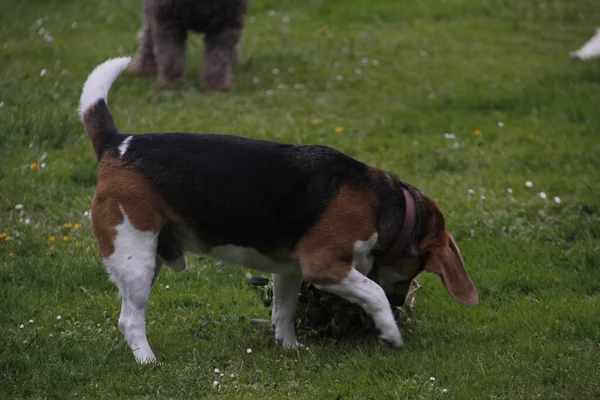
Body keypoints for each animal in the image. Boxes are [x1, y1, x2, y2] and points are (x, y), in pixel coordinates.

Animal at [78, 57, 478, 364]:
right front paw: (391, 333)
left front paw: (291, 348)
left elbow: (283, 312)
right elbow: (373, 291)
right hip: (135, 257)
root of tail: (117, 142)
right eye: (416, 270)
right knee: (130, 319)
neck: (389, 204)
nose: (400, 304)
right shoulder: (323, 265)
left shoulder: (289, 270)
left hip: (151, 254)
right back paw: (148, 361)